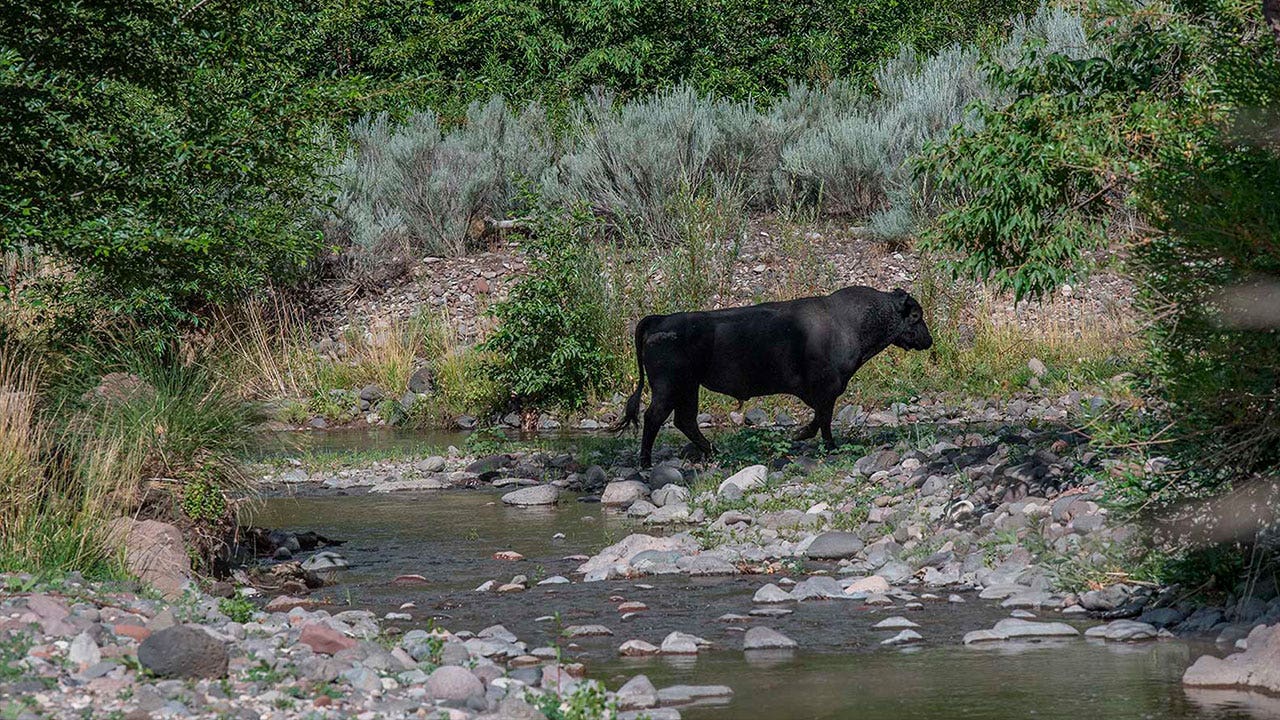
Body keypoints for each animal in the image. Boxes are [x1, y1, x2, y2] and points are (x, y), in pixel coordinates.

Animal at [609, 283, 931, 468]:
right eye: (915, 316)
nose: (928, 340)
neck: (849, 322)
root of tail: (659, 320)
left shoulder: (824, 392)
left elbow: (820, 417)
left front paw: (801, 435)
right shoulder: (827, 388)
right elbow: (824, 419)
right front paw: (823, 443)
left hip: (689, 388)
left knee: (684, 421)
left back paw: (714, 452)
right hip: (670, 387)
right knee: (655, 417)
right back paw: (646, 463)